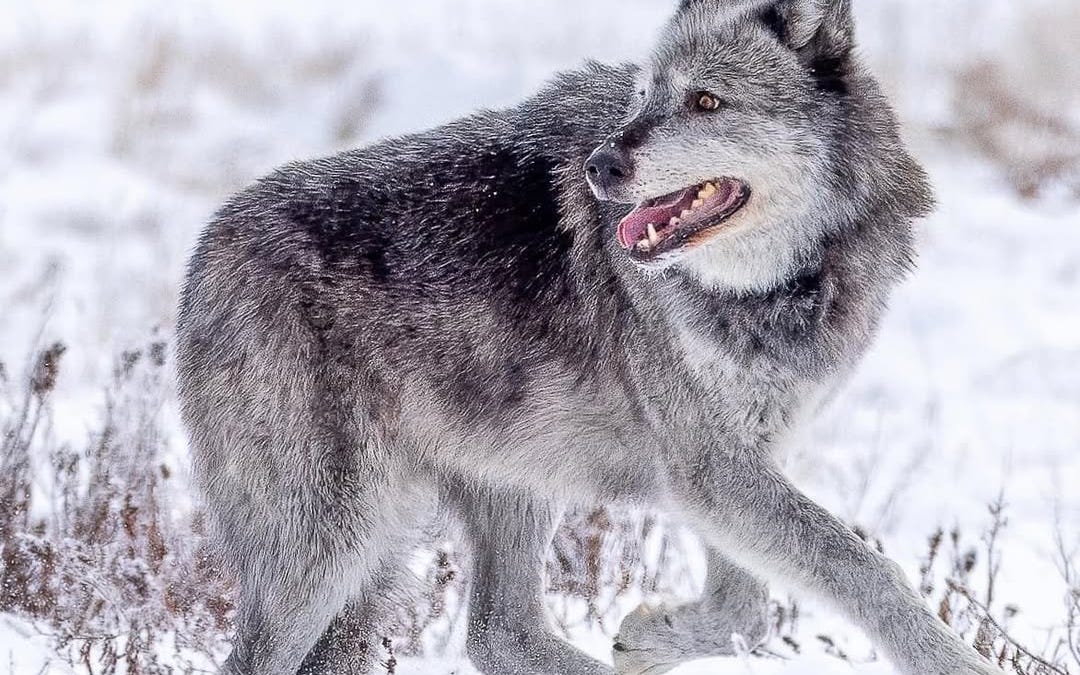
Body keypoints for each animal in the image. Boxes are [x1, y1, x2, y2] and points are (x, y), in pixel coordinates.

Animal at [176, 0, 1005, 674]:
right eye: (644, 96)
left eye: (706, 101)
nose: (601, 164)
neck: (774, 289)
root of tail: (204, 252)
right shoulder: (711, 471)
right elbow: (866, 572)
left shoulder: (727, 468)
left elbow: (746, 609)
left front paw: (649, 637)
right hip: (330, 550)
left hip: (498, 491)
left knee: (497, 634)